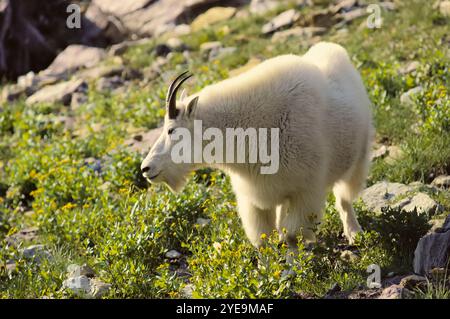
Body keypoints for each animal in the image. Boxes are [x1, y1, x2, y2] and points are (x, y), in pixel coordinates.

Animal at [141, 41, 372, 249]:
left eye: (171, 130)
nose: (146, 168)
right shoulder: (254, 197)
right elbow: (263, 240)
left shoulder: (306, 191)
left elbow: (292, 234)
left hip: (358, 157)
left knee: (344, 198)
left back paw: (354, 233)